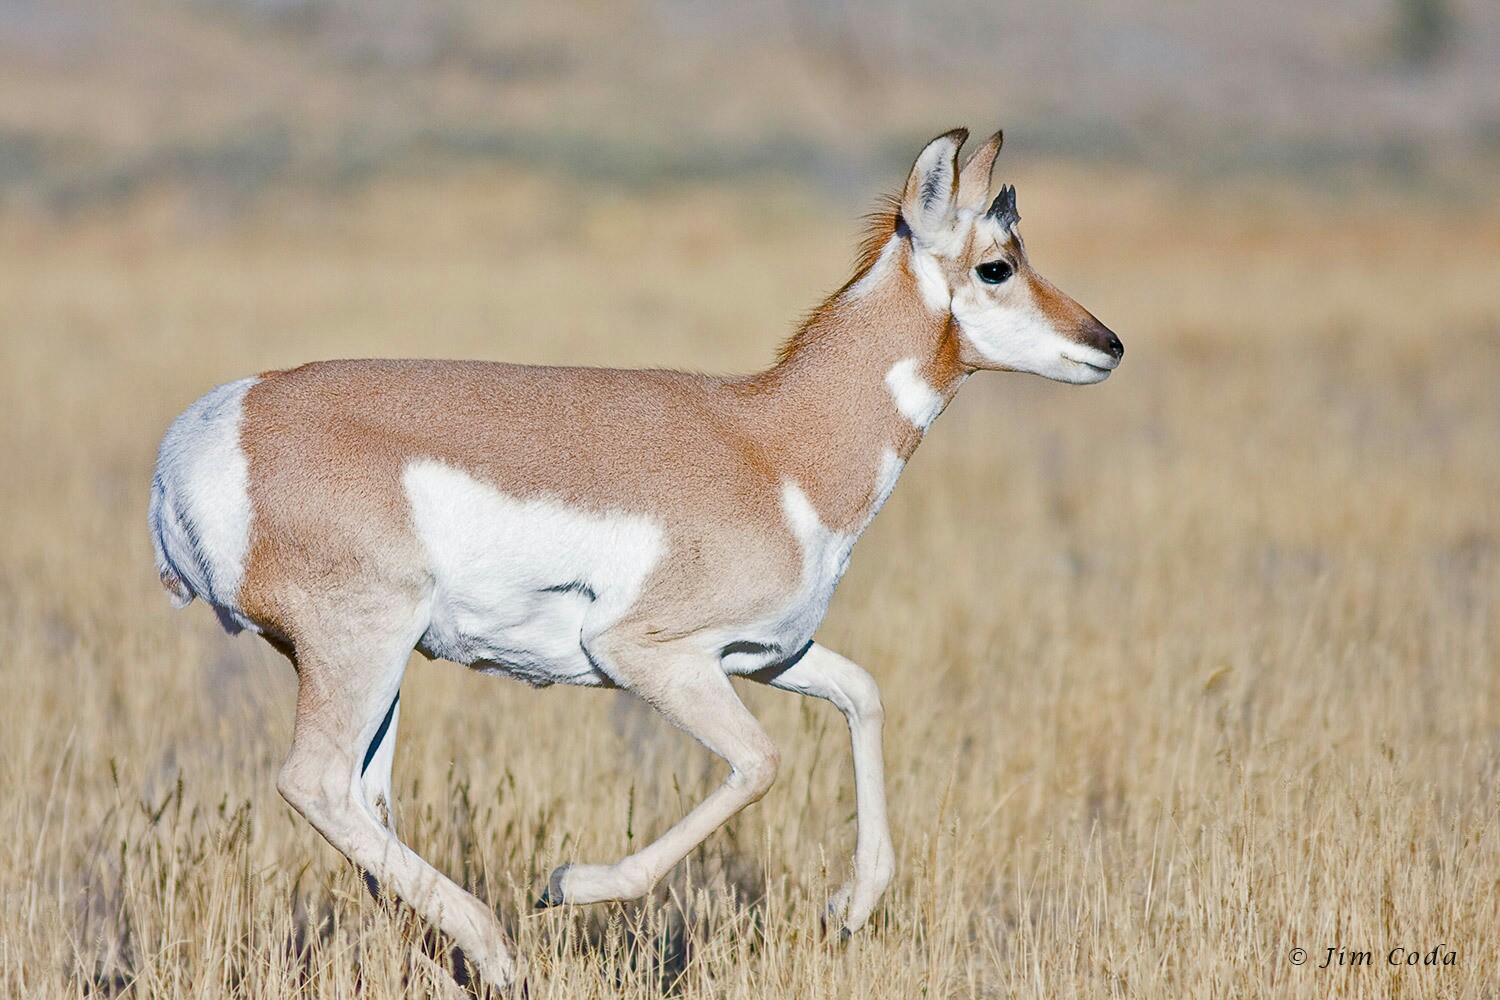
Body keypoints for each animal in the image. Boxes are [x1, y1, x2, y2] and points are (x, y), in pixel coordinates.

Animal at [149, 128, 1128, 989]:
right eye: (996, 265)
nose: (1109, 344)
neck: (775, 443)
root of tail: (210, 428)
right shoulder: (645, 654)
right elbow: (761, 763)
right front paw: (566, 883)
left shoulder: (762, 656)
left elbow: (864, 693)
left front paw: (848, 907)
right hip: (361, 649)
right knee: (314, 783)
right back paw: (499, 950)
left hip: (380, 671)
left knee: (363, 805)